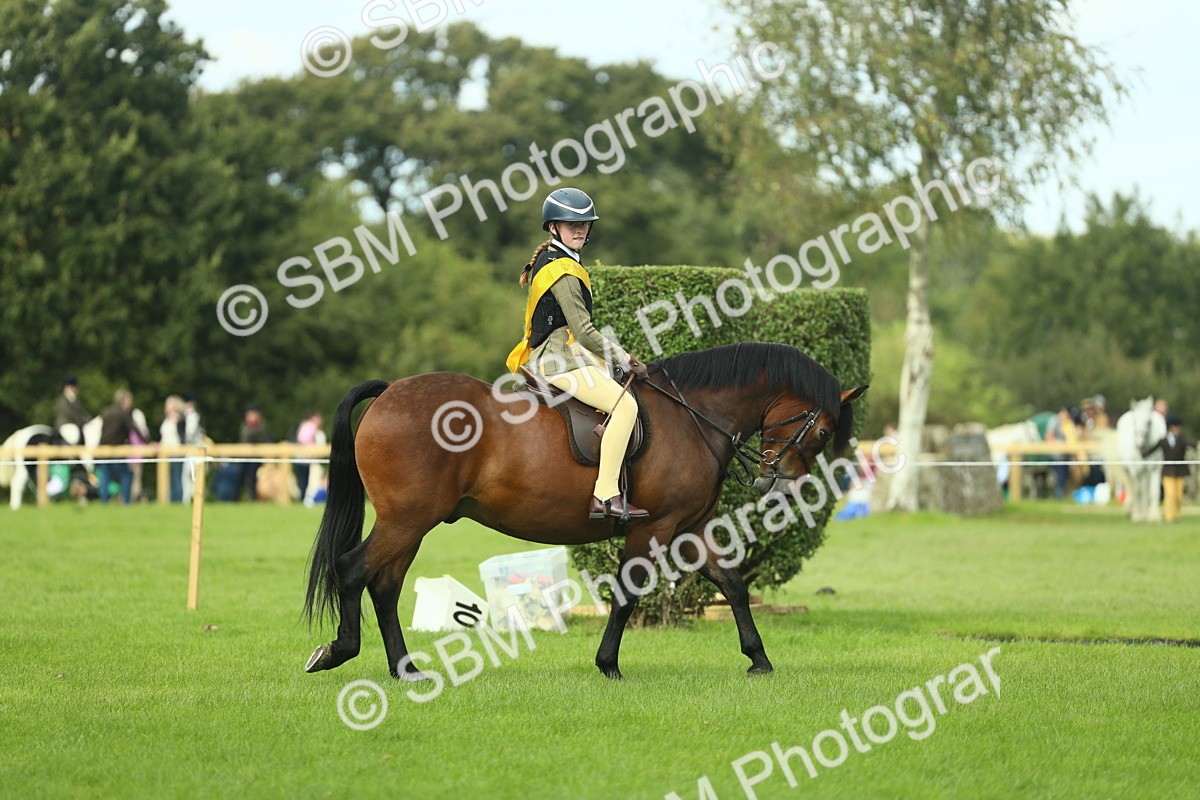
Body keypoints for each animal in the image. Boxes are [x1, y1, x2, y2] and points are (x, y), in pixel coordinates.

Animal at [303, 342, 867, 680]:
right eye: (822, 431)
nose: (780, 481)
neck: (693, 417)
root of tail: (391, 390)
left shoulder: (692, 530)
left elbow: (732, 584)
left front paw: (759, 658)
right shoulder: (654, 528)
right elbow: (626, 595)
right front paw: (608, 664)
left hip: (411, 525)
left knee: (384, 584)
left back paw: (405, 669)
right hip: (406, 521)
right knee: (354, 570)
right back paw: (338, 651)